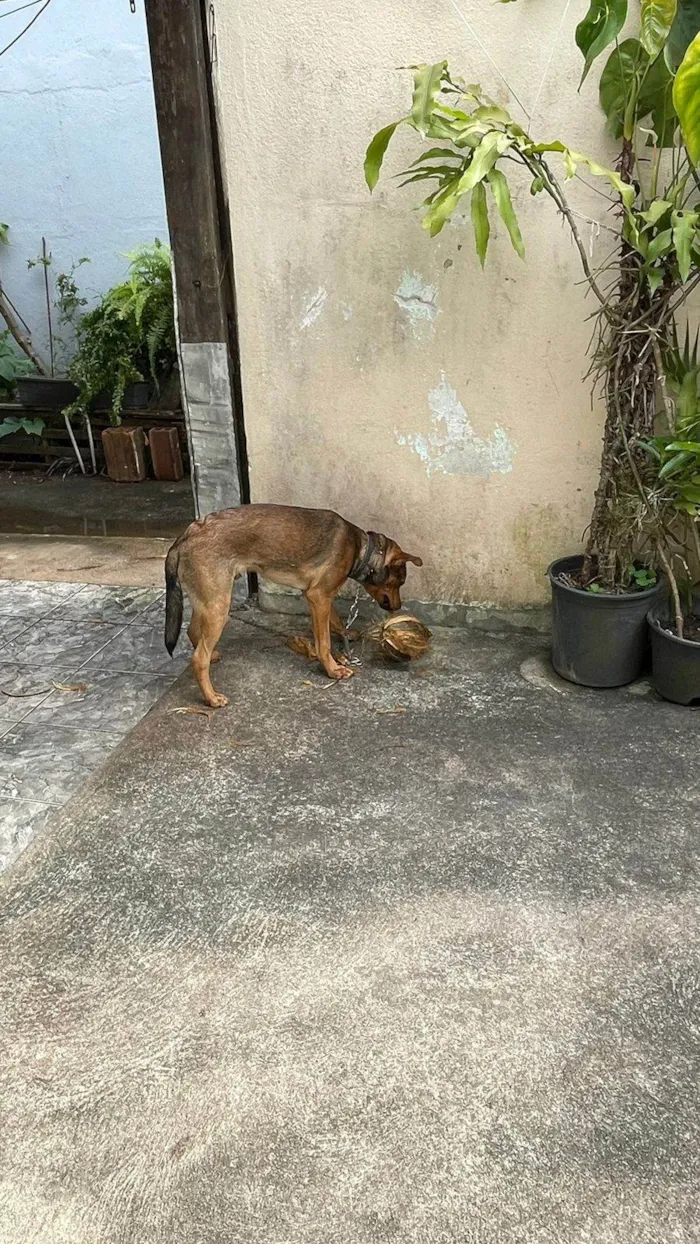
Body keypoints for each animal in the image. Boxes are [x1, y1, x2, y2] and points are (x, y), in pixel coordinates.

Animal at [164, 500, 422, 706]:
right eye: (400, 581)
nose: (397, 608)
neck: (361, 549)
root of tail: (185, 537)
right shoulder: (319, 596)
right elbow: (324, 642)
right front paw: (332, 669)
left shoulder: (318, 596)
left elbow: (335, 621)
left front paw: (346, 635)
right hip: (218, 605)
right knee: (198, 658)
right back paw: (211, 698)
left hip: (209, 600)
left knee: (193, 632)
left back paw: (213, 656)